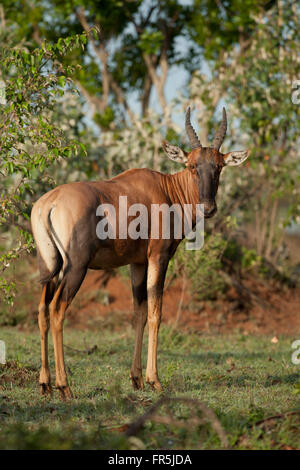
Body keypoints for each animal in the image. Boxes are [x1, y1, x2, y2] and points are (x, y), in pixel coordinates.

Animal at [30, 107, 248, 400]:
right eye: (191, 166)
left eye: (220, 166)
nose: (209, 207)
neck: (166, 189)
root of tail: (49, 203)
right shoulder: (159, 257)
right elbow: (156, 313)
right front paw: (154, 380)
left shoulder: (137, 263)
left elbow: (139, 314)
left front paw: (136, 379)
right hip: (75, 267)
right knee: (57, 310)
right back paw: (65, 386)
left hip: (49, 266)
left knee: (42, 309)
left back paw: (45, 384)